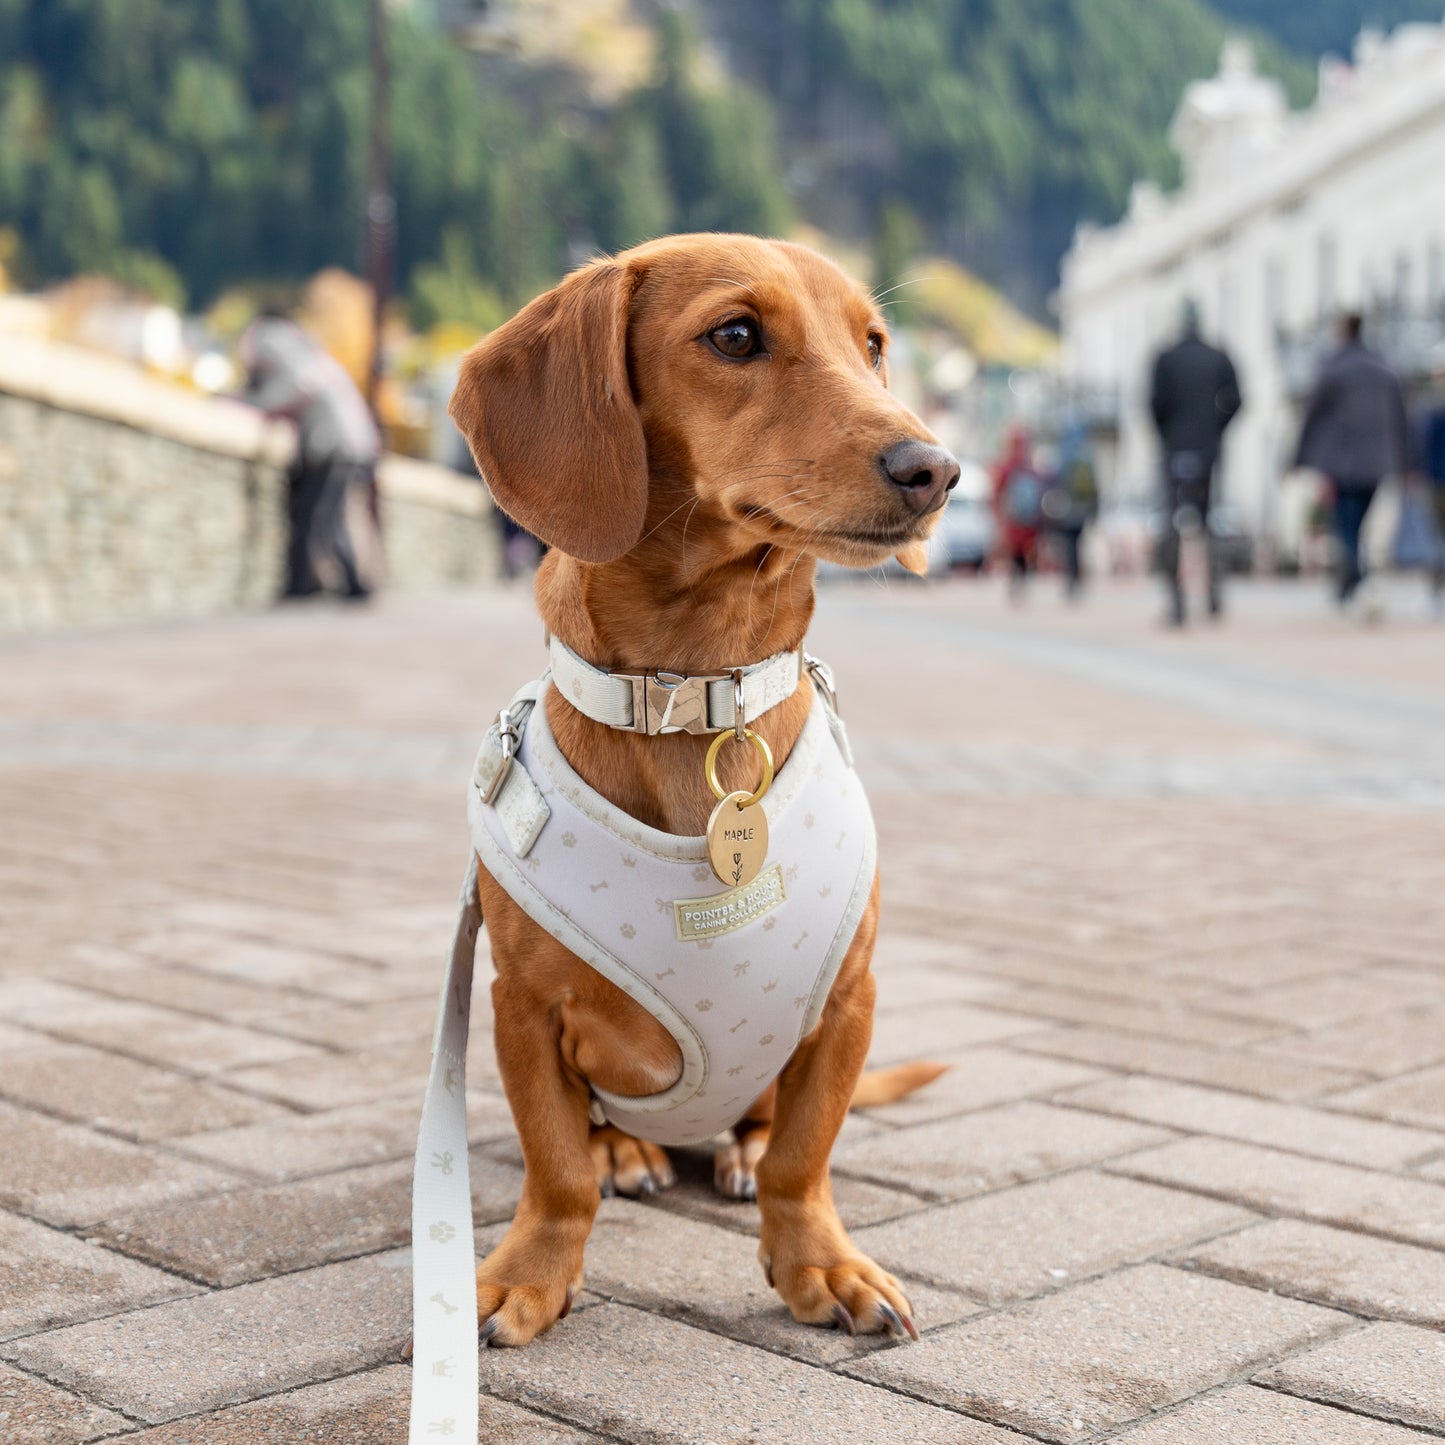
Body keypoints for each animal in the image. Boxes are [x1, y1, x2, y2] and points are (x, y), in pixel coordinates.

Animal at [450, 231, 959, 1346]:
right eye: (733, 335)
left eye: (873, 344)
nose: (935, 469)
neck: (695, 695)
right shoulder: (521, 1007)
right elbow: (556, 1168)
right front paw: (528, 1272)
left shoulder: (849, 999)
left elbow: (804, 1158)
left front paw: (822, 1262)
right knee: (601, 1135)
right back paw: (631, 1151)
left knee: (762, 1130)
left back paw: (733, 1147)